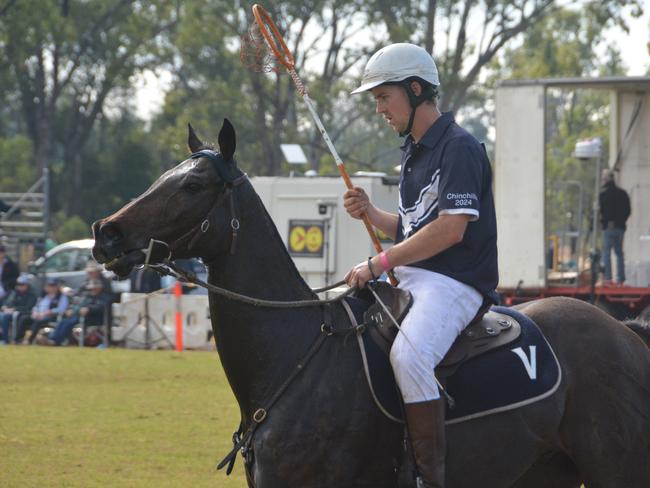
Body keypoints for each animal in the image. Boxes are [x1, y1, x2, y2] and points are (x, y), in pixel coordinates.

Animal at [93, 119, 648, 488]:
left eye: (191, 184)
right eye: (163, 175)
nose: (105, 233)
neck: (292, 357)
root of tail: (627, 332)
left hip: (616, 469)